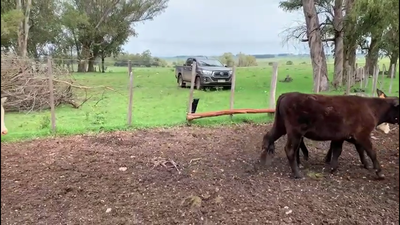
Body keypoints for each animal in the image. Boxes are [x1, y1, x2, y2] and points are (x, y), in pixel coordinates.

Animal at [260, 92, 398, 179]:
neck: (371, 108)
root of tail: (287, 95)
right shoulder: (362, 135)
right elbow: (371, 152)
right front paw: (379, 172)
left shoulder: (340, 137)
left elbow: (338, 151)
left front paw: (333, 167)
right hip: (295, 132)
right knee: (289, 149)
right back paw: (297, 173)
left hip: (281, 127)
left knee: (268, 137)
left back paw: (263, 161)